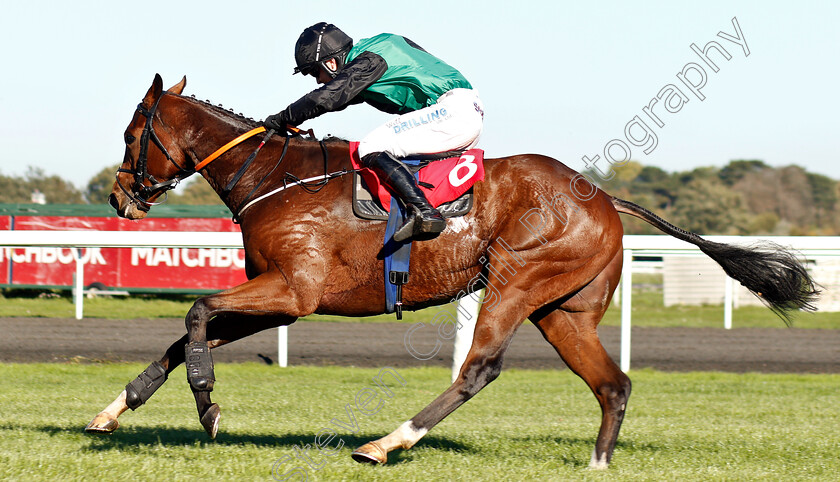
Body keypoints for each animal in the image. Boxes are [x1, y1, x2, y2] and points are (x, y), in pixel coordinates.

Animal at [88, 73, 816, 468]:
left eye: (130, 135)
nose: (120, 197)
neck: (275, 178)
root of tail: (606, 198)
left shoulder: (293, 292)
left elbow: (196, 314)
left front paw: (208, 407)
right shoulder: (277, 294)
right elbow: (185, 336)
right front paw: (112, 411)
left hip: (516, 282)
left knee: (480, 369)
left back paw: (386, 443)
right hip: (565, 310)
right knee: (613, 385)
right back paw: (596, 463)